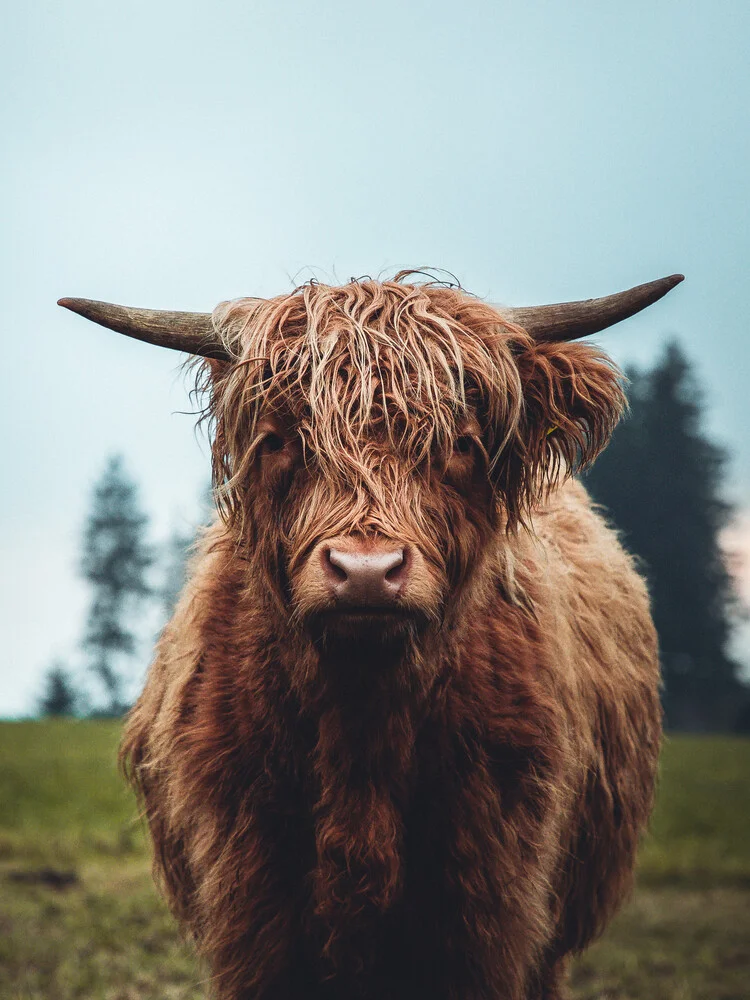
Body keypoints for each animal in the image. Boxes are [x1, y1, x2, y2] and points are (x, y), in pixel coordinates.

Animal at [58, 270, 680, 996]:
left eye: (460, 443)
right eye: (278, 440)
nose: (365, 572)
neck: (361, 730)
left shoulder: (491, 913)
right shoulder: (251, 916)